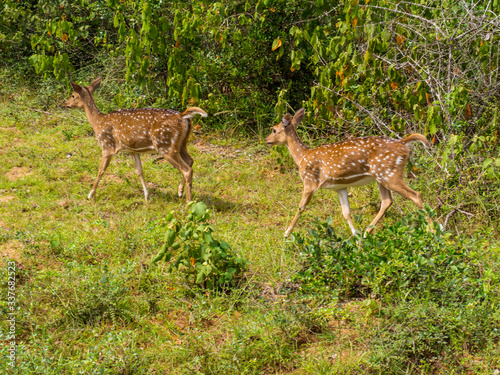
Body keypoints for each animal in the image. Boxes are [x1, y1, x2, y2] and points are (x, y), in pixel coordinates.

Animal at [65, 76, 206, 204]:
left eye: (73, 95)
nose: (65, 104)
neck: (97, 122)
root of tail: (183, 117)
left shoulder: (107, 145)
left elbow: (101, 170)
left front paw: (90, 194)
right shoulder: (132, 150)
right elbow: (139, 171)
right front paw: (147, 196)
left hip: (165, 145)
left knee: (187, 169)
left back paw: (188, 202)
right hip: (181, 144)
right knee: (190, 160)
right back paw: (180, 191)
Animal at [266, 108, 434, 238]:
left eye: (274, 129)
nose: (267, 140)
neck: (302, 156)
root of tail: (404, 144)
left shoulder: (310, 181)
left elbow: (301, 207)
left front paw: (286, 233)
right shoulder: (340, 187)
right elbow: (346, 212)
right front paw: (354, 234)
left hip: (390, 174)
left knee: (416, 195)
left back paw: (433, 232)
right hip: (381, 176)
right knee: (387, 201)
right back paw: (366, 232)